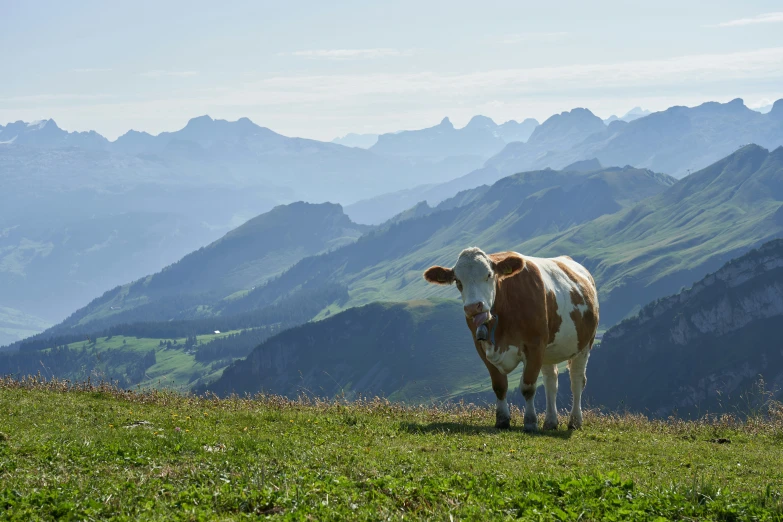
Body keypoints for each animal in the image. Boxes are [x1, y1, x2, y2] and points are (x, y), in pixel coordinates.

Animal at [422, 248, 600, 430]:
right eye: (458, 280)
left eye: (488, 274)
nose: (472, 307)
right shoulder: (482, 348)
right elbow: (499, 386)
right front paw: (502, 419)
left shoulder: (535, 345)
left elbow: (528, 386)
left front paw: (530, 422)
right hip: (549, 350)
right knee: (551, 381)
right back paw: (550, 421)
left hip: (585, 344)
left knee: (576, 380)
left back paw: (575, 421)